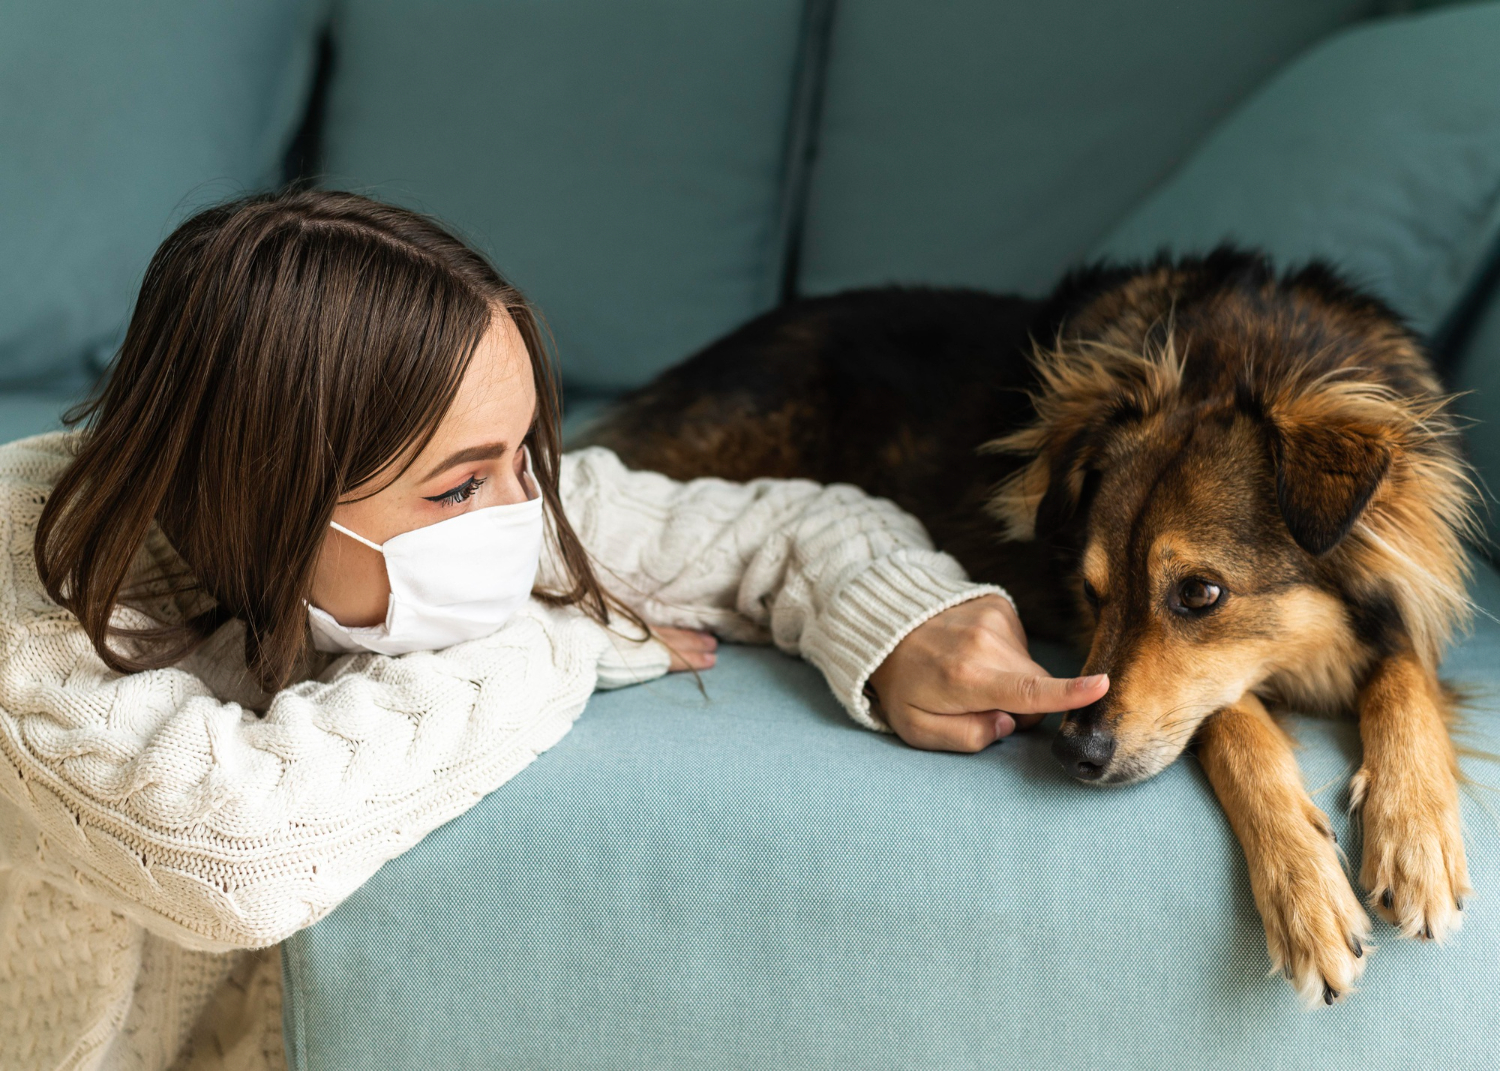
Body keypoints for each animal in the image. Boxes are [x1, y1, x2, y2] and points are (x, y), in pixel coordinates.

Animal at [582, 244, 1476, 1002]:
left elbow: (1404, 678)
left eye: (1201, 593)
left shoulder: (1404, 604)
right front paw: (1305, 891)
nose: (1074, 753)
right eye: (1090, 589)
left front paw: (1415, 835)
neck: (1241, 350)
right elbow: (1233, 723)